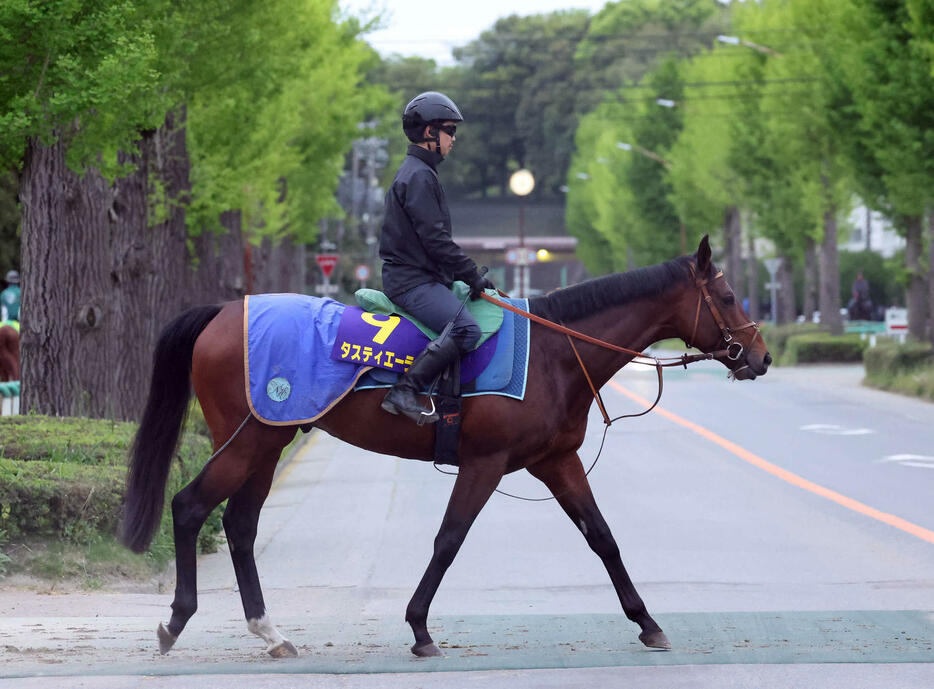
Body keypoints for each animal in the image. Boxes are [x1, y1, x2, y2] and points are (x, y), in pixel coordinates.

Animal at [120, 235, 772, 656]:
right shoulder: (484, 464)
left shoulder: (555, 462)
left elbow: (602, 538)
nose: (762, 357)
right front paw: (419, 628)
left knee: (239, 524)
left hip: (267, 441)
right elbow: (449, 540)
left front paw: (646, 621)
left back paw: (269, 631)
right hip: (250, 438)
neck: (555, 351)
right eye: (730, 297)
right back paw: (177, 621)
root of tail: (222, 313)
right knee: (190, 507)